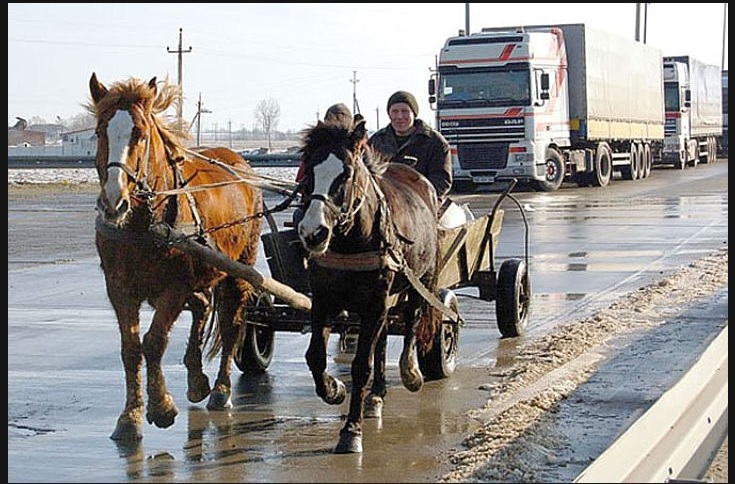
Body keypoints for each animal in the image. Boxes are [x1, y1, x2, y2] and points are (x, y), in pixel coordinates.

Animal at [88, 73, 264, 442]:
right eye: (99, 131)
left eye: (140, 134)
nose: (113, 202)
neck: (144, 223)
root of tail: (239, 163)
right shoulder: (119, 287)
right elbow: (131, 348)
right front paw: (130, 417)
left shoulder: (173, 287)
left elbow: (154, 342)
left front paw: (161, 407)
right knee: (202, 305)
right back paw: (197, 379)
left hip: (239, 270)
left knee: (230, 323)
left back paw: (221, 390)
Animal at [294, 117, 442, 454]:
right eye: (308, 171)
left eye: (346, 173)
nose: (313, 233)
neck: (351, 241)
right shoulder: (324, 299)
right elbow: (315, 356)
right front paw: (334, 389)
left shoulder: (375, 302)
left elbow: (361, 364)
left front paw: (351, 430)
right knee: (384, 338)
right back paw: (377, 394)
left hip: (421, 280)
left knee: (412, 320)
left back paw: (410, 372)